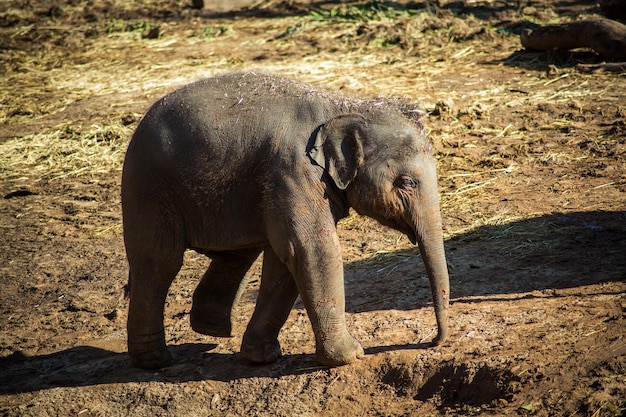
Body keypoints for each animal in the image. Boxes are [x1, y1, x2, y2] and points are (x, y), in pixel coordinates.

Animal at [122, 71, 446, 368]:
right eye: (407, 183)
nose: (433, 341)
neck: (346, 106)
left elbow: (286, 259)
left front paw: (262, 357)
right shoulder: (292, 171)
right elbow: (311, 249)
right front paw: (350, 356)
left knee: (237, 253)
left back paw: (210, 329)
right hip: (148, 187)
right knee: (159, 262)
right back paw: (155, 361)